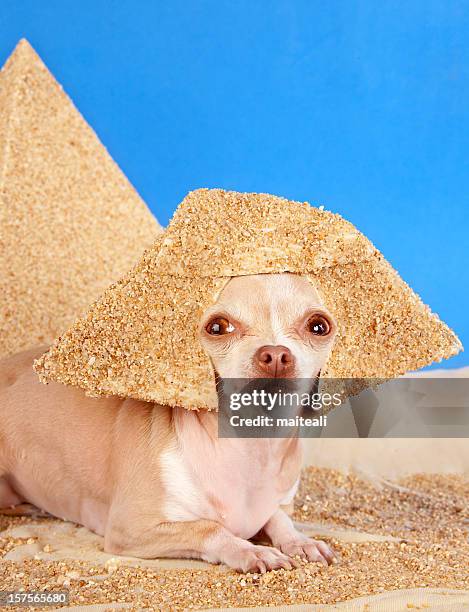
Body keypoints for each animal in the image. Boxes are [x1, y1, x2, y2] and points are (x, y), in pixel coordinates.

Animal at [0, 274, 336, 572]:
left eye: (318, 326)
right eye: (218, 327)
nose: (276, 354)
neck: (253, 447)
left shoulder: (274, 504)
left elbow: (279, 518)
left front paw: (301, 541)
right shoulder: (130, 528)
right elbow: (209, 527)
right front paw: (250, 551)